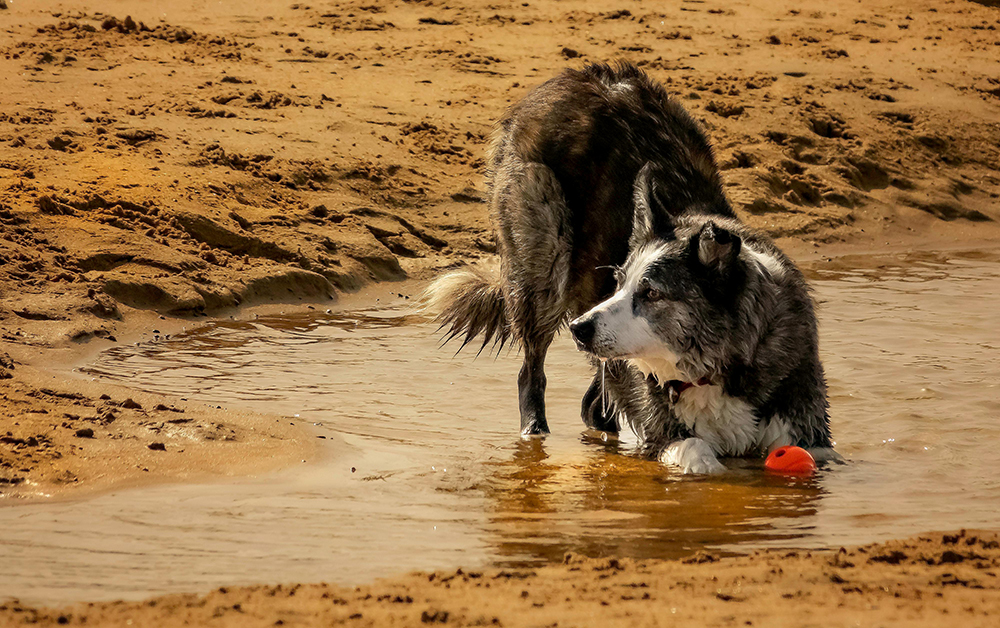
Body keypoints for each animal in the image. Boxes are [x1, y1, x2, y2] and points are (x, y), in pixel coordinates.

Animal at [422, 62, 836, 472]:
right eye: (618, 283)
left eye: (650, 292)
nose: (579, 329)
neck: (714, 369)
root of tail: (567, 80)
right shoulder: (667, 432)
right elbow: (699, 455)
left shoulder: (810, 434)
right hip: (543, 266)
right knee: (531, 373)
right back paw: (535, 435)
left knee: (594, 404)